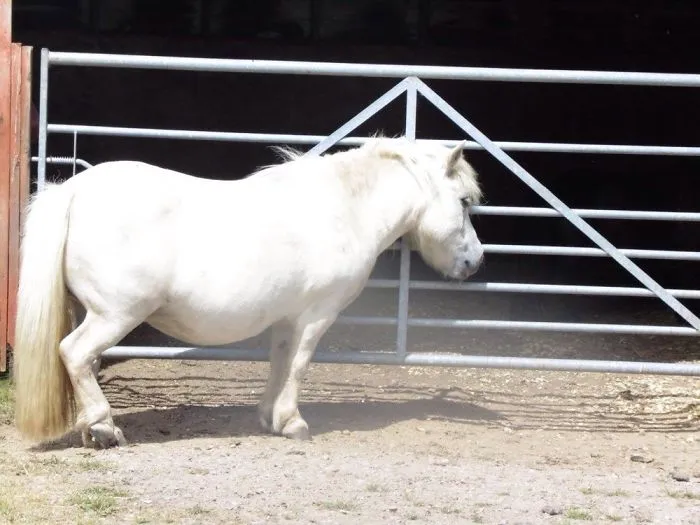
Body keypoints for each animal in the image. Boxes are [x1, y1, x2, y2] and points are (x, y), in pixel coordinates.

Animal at [13, 136, 484, 449]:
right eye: (464, 201)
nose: (475, 261)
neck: (344, 210)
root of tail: (74, 190)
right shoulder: (316, 316)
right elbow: (299, 366)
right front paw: (293, 423)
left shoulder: (287, 318)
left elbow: (280, 363)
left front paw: (269, 417)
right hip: (115, 315)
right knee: (75, 353)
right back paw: (105, 428)